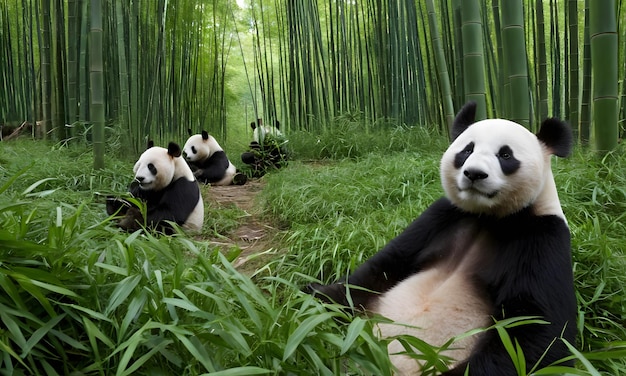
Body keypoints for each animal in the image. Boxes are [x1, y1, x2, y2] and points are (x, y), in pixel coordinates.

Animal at [308, 102, 576, 376]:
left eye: (505, 155)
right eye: (467, 150)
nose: (474, 173)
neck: (488, 217)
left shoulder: (542, 238)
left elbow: (538, 334)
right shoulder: (443, 217)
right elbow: (377, 271)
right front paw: (308, 303)